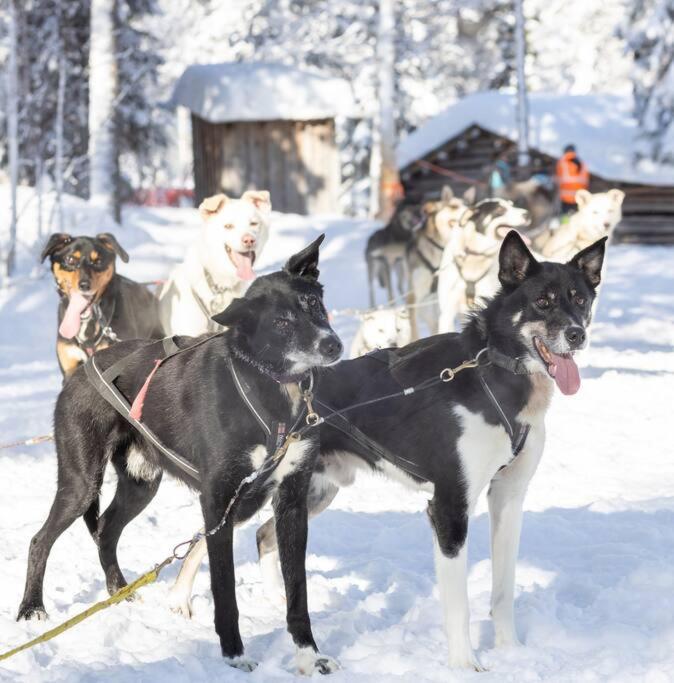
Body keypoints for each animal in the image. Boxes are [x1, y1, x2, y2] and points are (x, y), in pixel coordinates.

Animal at [169, 232, 608, 672]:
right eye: (543, 301)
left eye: (580, 300)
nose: (576, 334)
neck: (492, 376)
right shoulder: (450, 507)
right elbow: (459, 605)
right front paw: (466, 666)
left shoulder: (508, 498)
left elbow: (503, 590)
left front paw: (511, 652)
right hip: (248, 494)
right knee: (201, 540)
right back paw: (178, 601)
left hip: (313, 492)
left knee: (262, 535)